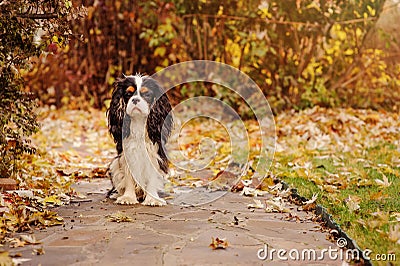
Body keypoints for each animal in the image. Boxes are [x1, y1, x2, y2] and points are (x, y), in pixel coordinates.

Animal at [107, 74, 173, 207]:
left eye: (146, 94)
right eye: (128, 94)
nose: (135, 100)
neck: (138, 121)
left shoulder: (154, 154)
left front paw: (152, 199)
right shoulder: (127, 154)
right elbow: (128, 176)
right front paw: (128, 197)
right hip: (115, 164)